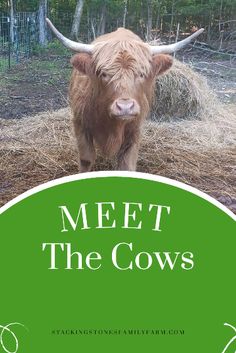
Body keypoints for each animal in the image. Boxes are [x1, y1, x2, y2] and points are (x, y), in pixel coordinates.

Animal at [46, 20, 205, 171]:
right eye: (104, 73)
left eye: (141, 74)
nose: (125, 107)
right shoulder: (80, 124)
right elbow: (86, 159)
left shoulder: (134, 131)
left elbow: (126, 164)